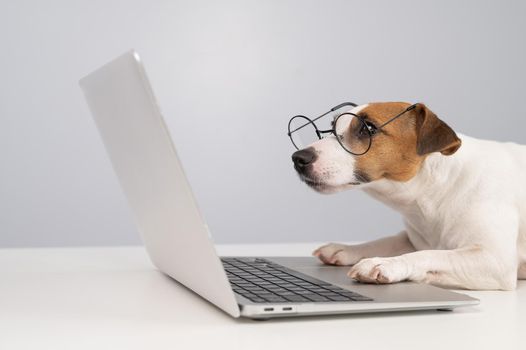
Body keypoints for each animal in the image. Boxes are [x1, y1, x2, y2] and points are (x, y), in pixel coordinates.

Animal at [292, 102, 526, 292]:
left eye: (368, 128)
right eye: (332, 127)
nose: (298, 158)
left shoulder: (495, 260)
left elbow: (431, 254)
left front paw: (387, 264)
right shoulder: (414, 237)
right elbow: (388, 241)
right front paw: (347, 249)